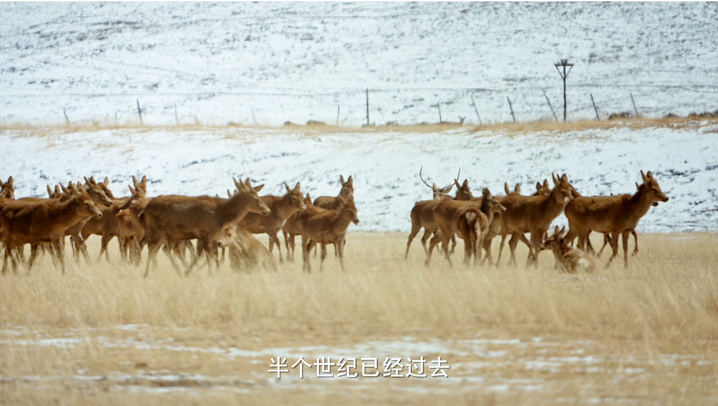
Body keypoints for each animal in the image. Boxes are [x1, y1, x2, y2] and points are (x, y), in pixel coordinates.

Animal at [139, 178, 270, 278]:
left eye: (258, 195)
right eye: (254, 198)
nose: (268, 210)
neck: (221, 216)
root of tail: (145, 209)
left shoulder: (203, 235)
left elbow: (204, 255)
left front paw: (192, 272)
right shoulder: (206, 231)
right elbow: (211, 255)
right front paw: (212, 273)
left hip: (169, 234)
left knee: (161, 250)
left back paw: (171, 271)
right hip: (157, 230)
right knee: (152, 249)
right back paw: (147, 273)